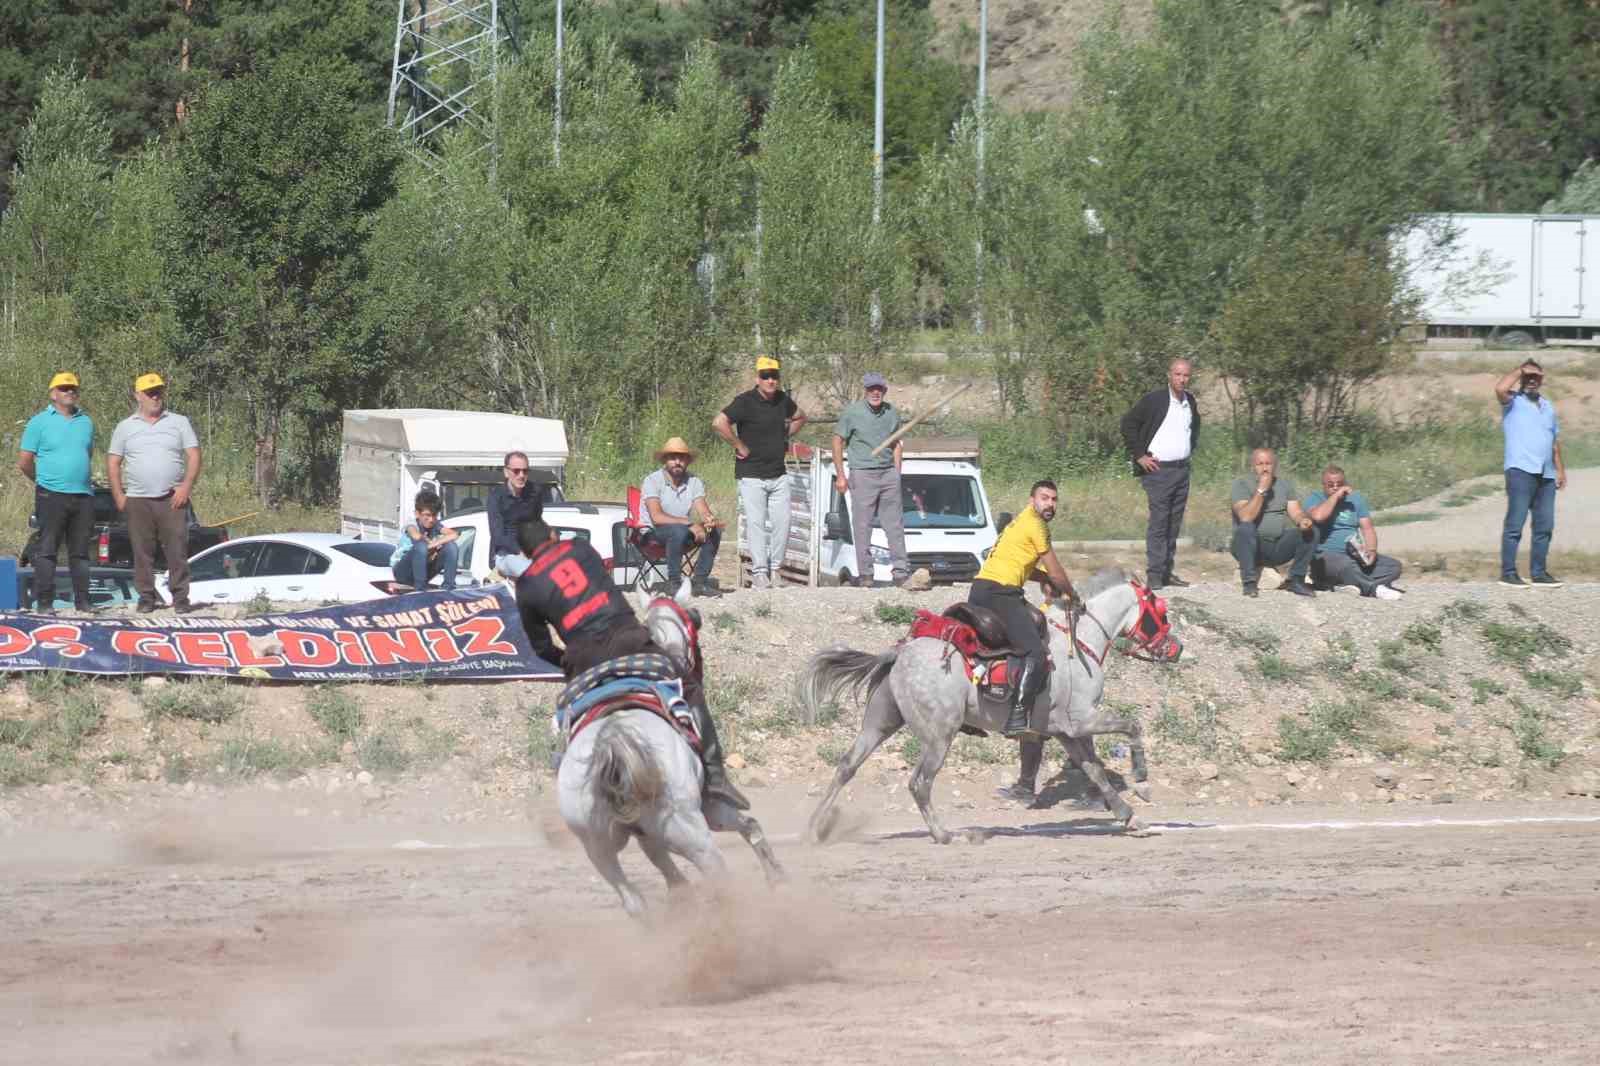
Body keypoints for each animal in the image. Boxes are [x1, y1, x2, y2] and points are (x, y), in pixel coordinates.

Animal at [556, 582, 787, 915]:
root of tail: (612, 743)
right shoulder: (710, 807)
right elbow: (750, 826)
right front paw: (777, 877)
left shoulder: (646, 833)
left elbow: (663, 861)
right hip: (691, 831)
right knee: (720, 876)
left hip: (598, 848)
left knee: (633, 901)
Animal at [796, 569, 1184, 845]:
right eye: (1160, 613)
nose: (1176, 648)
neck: (1079, 644)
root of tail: (899, 654)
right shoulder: (1081, 722)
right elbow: (1132, 726)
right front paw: (1142, 780)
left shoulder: (1065, 731)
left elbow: (1095, 771)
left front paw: (1129, 816)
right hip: (939, 735)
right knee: (919, 783)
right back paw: (944, 835)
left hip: (880, 723)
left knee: (847, 766)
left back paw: (814, 828)